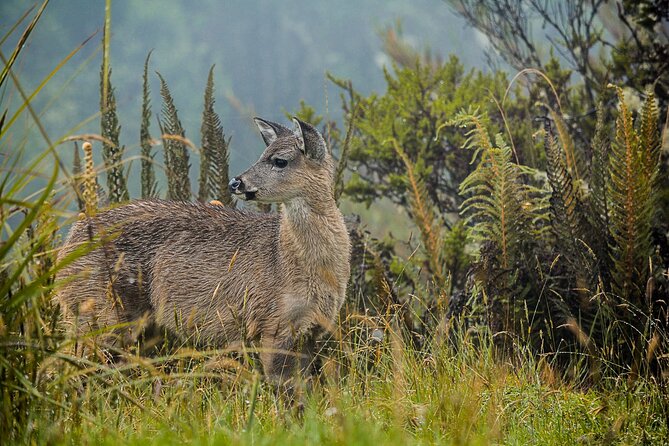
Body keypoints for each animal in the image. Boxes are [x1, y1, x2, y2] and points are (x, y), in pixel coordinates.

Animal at [57, 117, 352, 384]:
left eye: (280, 160)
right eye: (262, 155)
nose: (236, 183)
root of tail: (67, 245)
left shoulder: (312, 329)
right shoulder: (273, 323)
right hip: (99, 311)